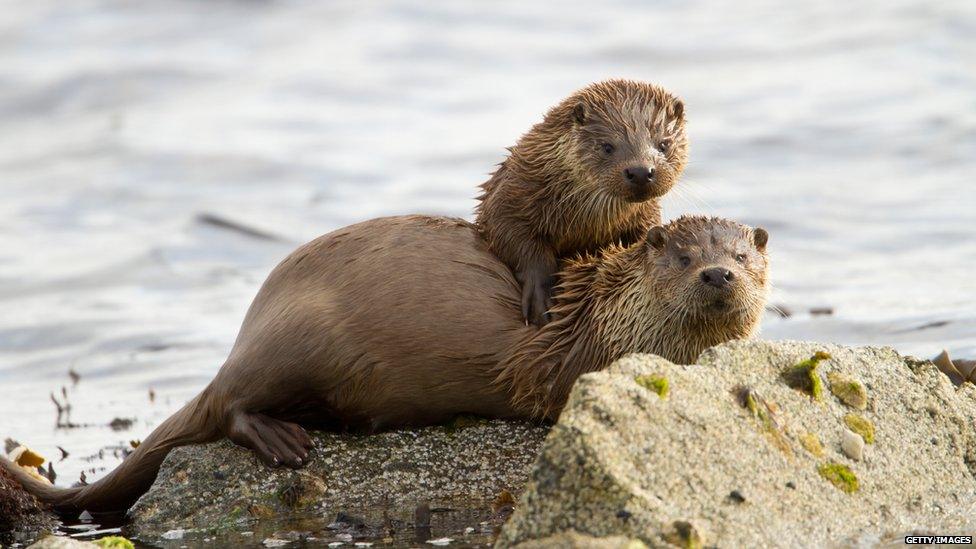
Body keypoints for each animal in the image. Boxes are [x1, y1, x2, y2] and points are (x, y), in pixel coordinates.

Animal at [0, 213, 768, 512]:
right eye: (682, 255)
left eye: (742, 252)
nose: (718, 274)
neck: (601, 313)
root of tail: (247, 332)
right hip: (295, 341)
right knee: (232, 404)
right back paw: (284, 440)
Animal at [472, 77, 688, 326]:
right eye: (607, 146)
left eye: (664, 144)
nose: (641, 171)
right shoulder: (509, 196)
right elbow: (513, 238)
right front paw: (539, 295)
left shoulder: (645, 216)